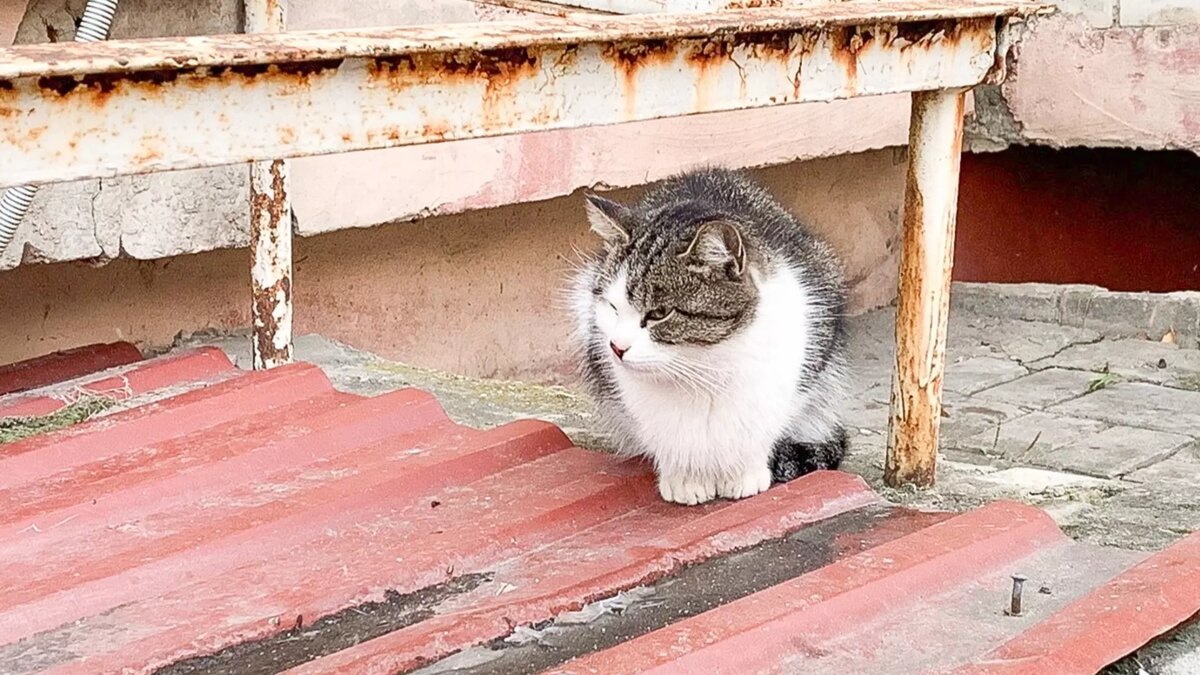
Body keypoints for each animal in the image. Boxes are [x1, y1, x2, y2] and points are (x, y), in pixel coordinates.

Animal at [566, 166, 849, 504]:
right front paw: (684, 478)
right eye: (612, 306)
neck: (702, 366)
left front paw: (744, 473)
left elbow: (760, 430)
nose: (617, 348)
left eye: (659, 313)